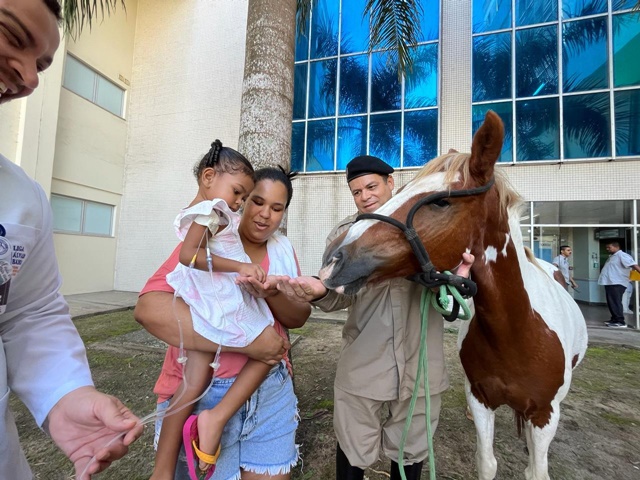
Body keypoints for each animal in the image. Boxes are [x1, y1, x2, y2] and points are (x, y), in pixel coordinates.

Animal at [322, 111, 588, 480]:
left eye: (441, 201)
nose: (333, 258)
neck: (518, 332)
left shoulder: (545, 414)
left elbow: (536, 470)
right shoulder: (480, 399)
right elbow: (487, 462)